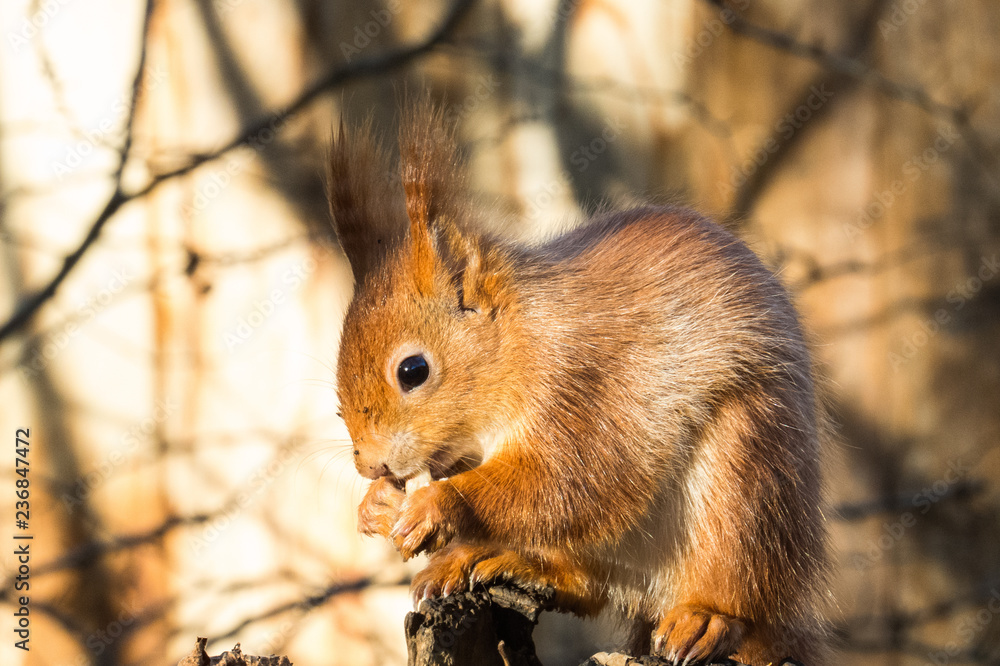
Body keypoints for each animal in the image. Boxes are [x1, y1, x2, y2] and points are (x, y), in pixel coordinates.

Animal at [328, 101, 830, 666]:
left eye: (412, 371)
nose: (370, 464)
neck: (521, 346)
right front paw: (376, 506)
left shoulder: (587, 390)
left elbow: (573, 481)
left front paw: (436, 505)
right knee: (586, 586)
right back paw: (492, 559)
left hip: (745, 479)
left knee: (739, 588)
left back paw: (709, 620)